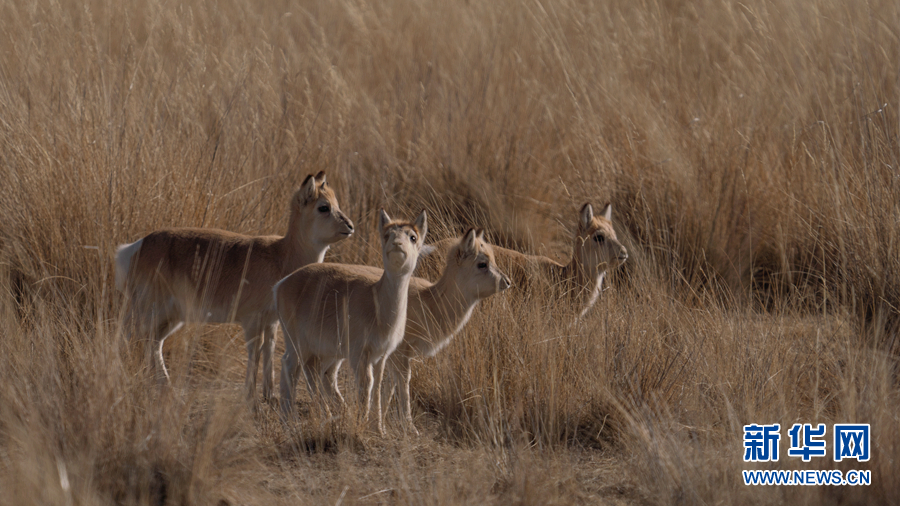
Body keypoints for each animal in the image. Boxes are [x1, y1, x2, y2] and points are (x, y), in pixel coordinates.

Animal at [115, 171, 354, 402]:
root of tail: (136, 247)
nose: (350, 226)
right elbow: (255, 353)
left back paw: (164, 386)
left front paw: (269, 394)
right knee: (125, 336)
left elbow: (269, 351)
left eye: (336, 203)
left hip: (170, 318)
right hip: (148, 311)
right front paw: (250, 396)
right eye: (323, 207)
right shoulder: (252, 321)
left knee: (152, 342)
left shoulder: (271, 322)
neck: (282, 254)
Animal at [275, 210, 426, 434]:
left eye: (413, 237)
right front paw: (365, 425)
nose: (397, 244)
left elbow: (377, 385)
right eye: (387, 235)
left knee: (315, 372)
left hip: (327, 351)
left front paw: (379, 428)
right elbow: (366, 384)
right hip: (297, 343)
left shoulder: (381, 355)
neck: (378, 307)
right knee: (291, 367)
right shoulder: (358, 354)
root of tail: (281, 284)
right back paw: (290, 419)